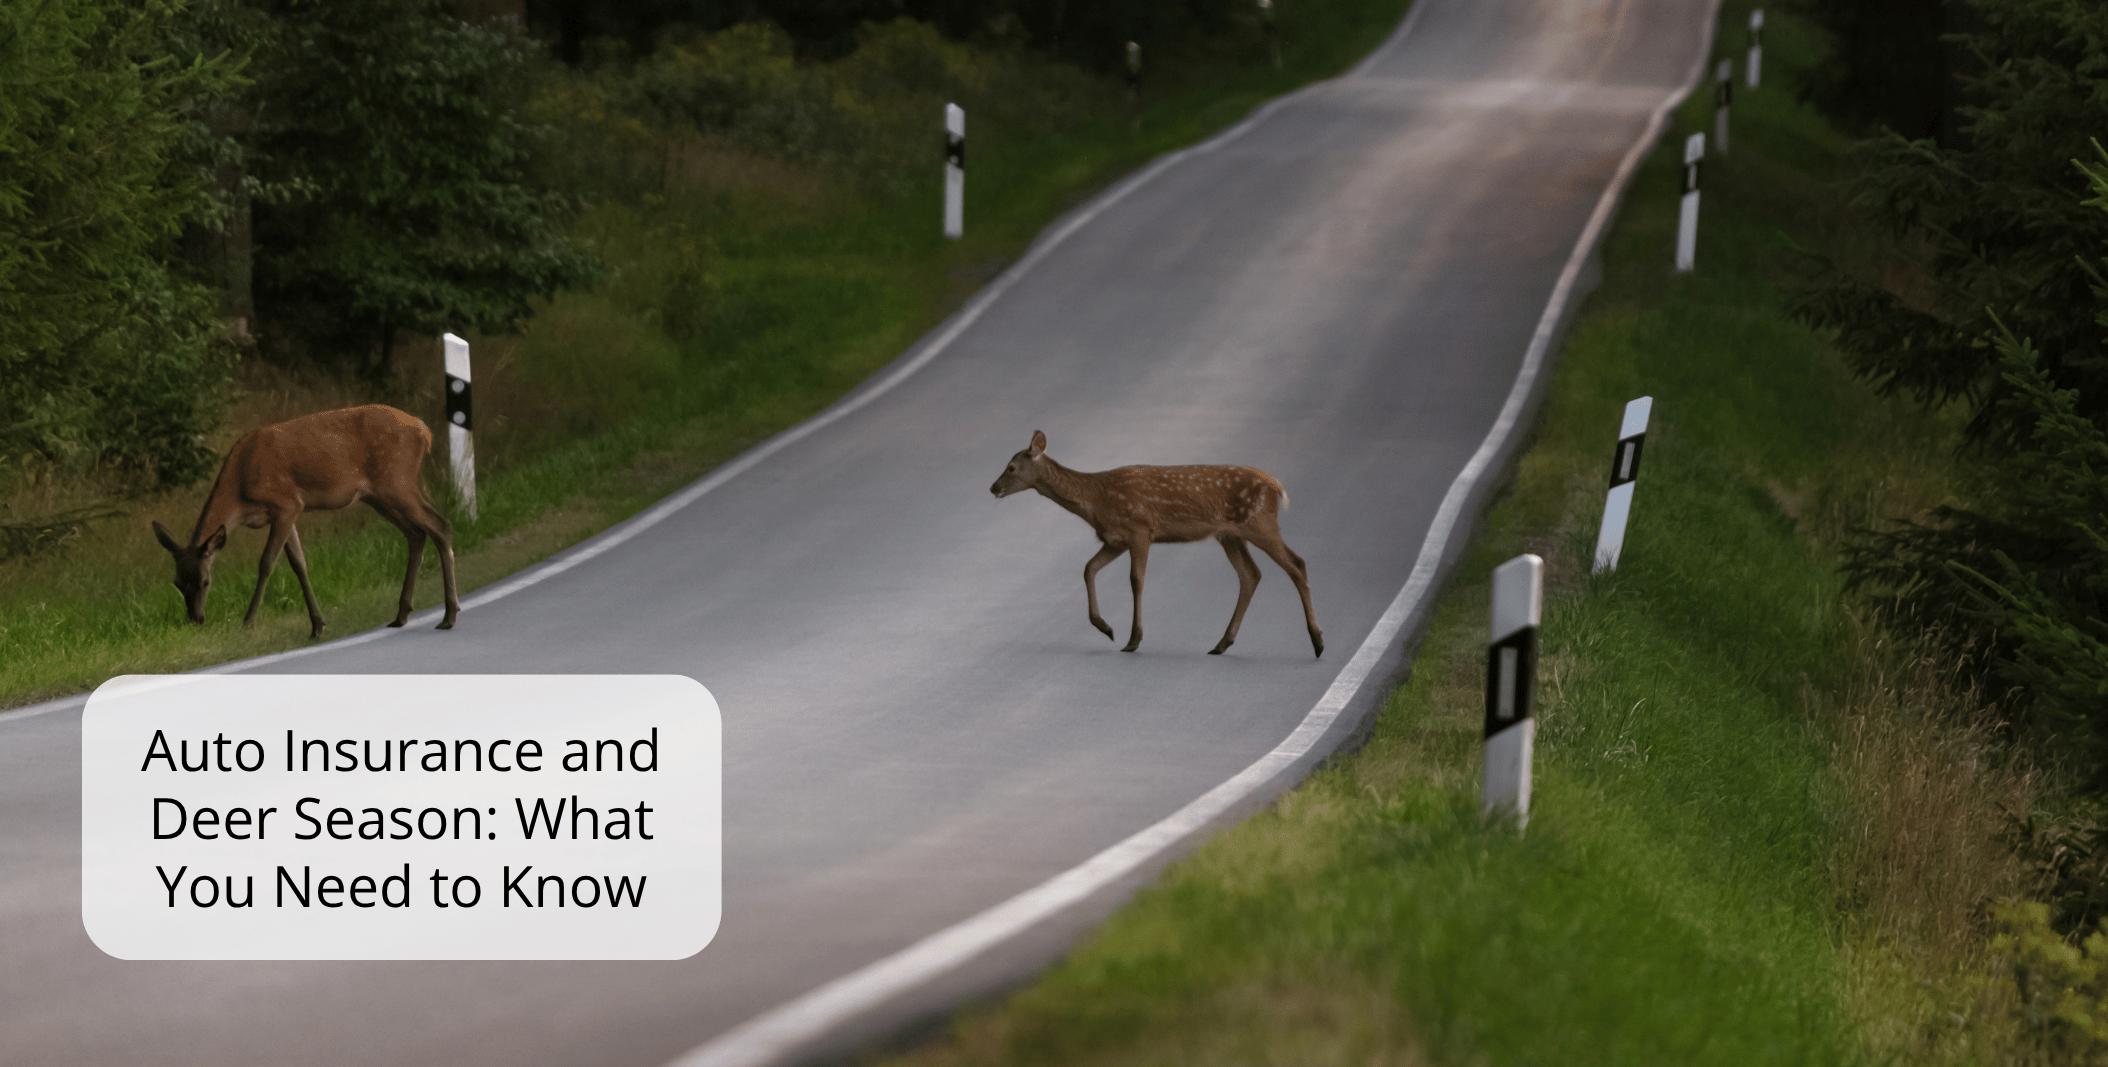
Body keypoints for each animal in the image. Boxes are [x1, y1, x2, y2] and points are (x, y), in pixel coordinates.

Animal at [152, 404, 460, 639]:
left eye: (205, 581)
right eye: (178, 582)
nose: (195, 619)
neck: (240, 489)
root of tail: (423, 429)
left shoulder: (286, 503)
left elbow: (266, 563)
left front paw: (248, 623)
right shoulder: (285, 513)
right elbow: (299, 564)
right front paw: (317, 625)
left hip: (397, 480)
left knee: (440, 524)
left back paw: (449, 615)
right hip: (378, 495)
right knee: (417, 533)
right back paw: (402, 614)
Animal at [990, 430, 1323, 658]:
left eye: (1011, 467)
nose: (993, 487)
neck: (1096, 500)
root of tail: (1276, 485)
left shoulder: (1140, 529)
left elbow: (1136, 579)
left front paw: (1133, 639)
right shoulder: (1115, 539)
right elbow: (1088, 568)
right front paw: (1106, 627)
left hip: (1259, 522)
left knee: (1297, 564)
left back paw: (1318, 642)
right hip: (1230, 534)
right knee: (1251, 574)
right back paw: (1221, 643)